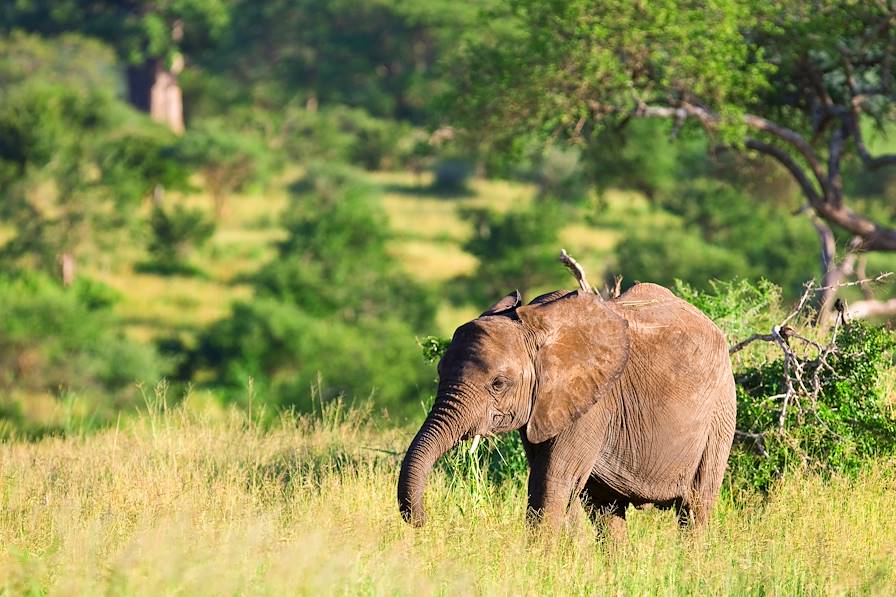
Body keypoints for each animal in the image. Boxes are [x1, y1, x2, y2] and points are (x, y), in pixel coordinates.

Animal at [400, 280, 736, 536]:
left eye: (498, 383)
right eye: (440, 371)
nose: (424, 521)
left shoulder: (592, 405)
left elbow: (552, 481)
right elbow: (559, 486)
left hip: (720, 413)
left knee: (696, 506)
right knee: (606, 509)